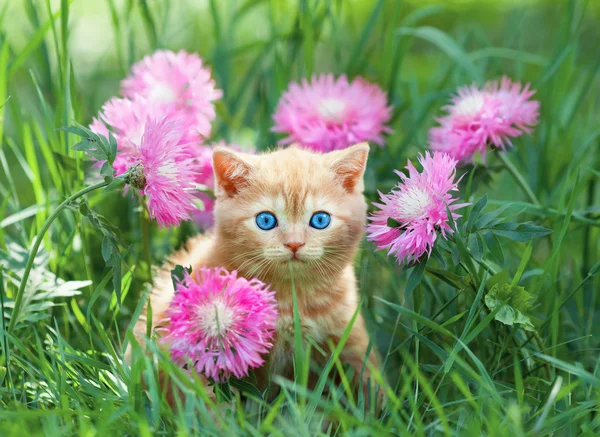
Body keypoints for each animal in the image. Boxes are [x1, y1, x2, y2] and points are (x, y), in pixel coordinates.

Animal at [129, 144, 382, 398]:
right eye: (266, 220)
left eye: (320, 220)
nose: (294, 244)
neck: (291, 297)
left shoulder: (349, 336)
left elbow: (370, 382)